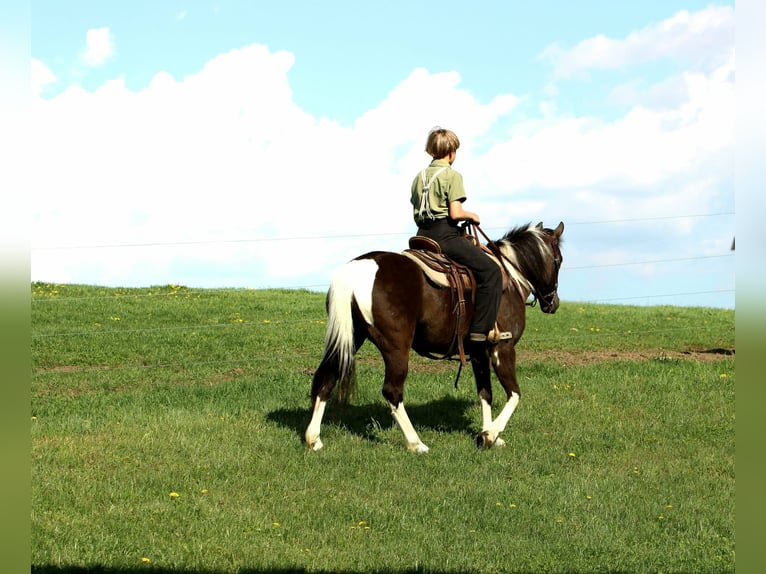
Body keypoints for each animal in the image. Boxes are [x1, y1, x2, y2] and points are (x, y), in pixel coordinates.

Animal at [305, 221, 564, 452]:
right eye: (559, 260)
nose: (553, 303)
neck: (510, 276)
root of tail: (355, 270)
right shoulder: (504, 347)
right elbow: (514, 394)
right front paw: (490, 435)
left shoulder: (479, 352)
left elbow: (485, 393)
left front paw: (488, 433)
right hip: (396, 346)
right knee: (392, 391)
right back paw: (415, 443)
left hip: (350, 338)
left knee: (326, 378)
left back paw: (313, 439)